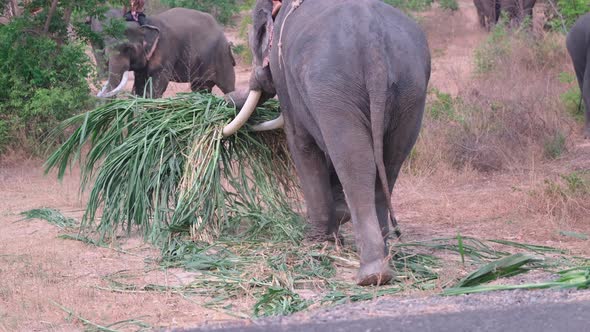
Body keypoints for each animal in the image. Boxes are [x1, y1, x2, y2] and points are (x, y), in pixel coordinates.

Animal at [88, 7, 236, 98]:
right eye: (105, 50)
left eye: (127, 48)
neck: (144, 23)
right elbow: (140, 84)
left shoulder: (165, 51)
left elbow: (157, 85)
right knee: (200, 87)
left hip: (222, 56)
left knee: (228, 86)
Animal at [224, 0, 432, 286]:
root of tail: (374, 45)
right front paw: (338, 219)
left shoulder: (285, 76)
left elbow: (300, 141)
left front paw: (317, 241)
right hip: (411, 90)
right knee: (389, 164)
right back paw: (384, 259)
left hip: (334, 85)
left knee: (354, 161)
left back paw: (371, 274)